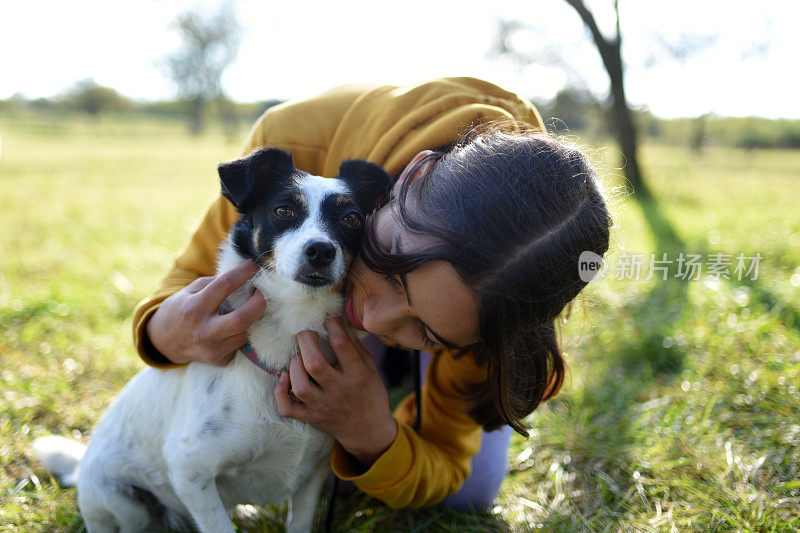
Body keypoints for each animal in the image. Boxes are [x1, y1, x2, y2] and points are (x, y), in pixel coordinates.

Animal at [32, 147, 392, 532]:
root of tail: (82, 469)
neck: (290, 336)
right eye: (283, 210)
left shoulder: (312, 474)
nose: (321, 251)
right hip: (123, 501)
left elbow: (299, 522)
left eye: (351, 218)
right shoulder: (190, 468)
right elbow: (218, 524)